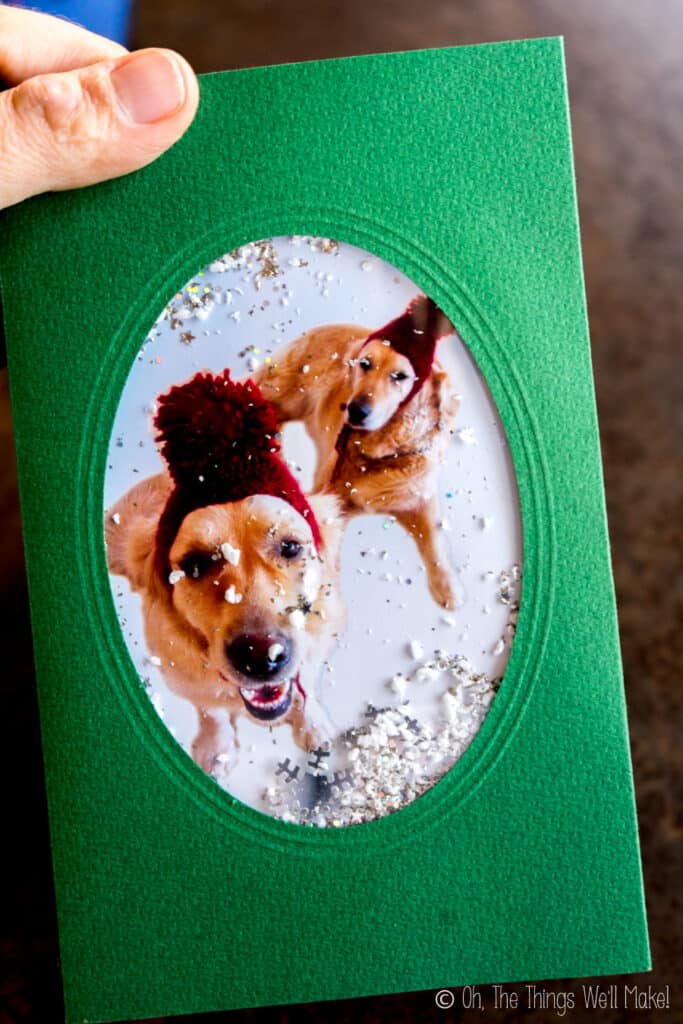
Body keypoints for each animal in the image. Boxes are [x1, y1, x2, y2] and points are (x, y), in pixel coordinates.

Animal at [105, 370, 344, 774]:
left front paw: (312, 725)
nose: (260, 658)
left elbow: (305, 685)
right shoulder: (186, 678)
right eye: (195, 564)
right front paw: (215, 747)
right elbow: (211, 711)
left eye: (290, 547)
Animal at [254, 296, 458, 602]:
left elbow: (434, 538)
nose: (356, 410)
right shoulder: (332, 494)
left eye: (400, 376)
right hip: (283, 394)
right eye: (365, 364)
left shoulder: (417, 494)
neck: (382, 453)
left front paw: (448, 588)